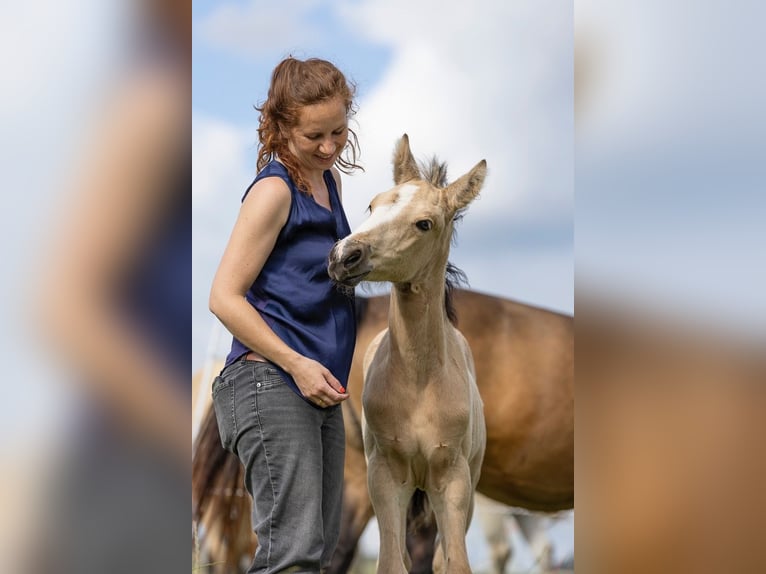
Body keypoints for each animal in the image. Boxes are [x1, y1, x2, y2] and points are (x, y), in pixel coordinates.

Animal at [328, 136, 486, 574]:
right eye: (372, 205)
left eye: (424, 223)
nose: (344, 256)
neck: (420, 380)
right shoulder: (384, 476)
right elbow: (391, 563)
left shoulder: (453, 481)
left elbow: (454, 564)